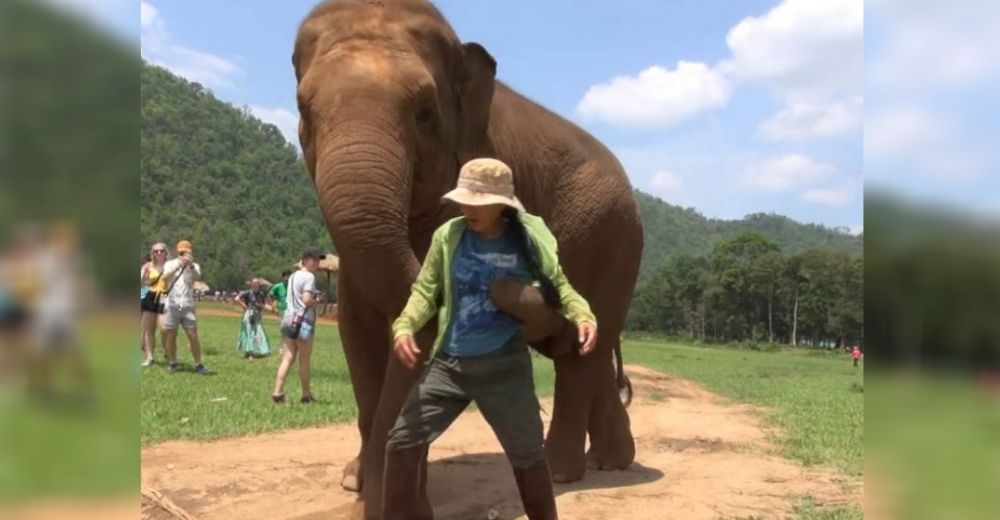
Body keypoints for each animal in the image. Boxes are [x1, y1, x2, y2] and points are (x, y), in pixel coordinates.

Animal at [292, 2, 644, 516]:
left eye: (425, 113)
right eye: (304, 110)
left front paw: (396, 501)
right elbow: (361, 332)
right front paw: (354, 482)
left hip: (618, 246)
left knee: (582, 355)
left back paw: (564, 472)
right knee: (586, 350)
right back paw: (610, 463)